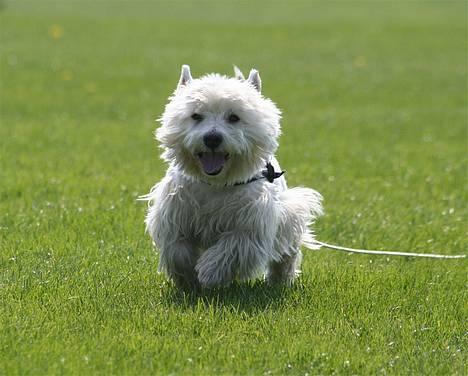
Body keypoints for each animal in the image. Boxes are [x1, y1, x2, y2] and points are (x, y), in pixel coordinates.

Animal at [144, 64, 324, 290]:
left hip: (288, 216)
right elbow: (178, 249)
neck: (216, 183)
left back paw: (279, 280)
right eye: (196, 116)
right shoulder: (174, 213)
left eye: (234, 117)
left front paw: (209, 272)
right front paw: (188, 278)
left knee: (286, 252)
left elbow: (233, 246)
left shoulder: (252, 222)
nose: (212, 138)